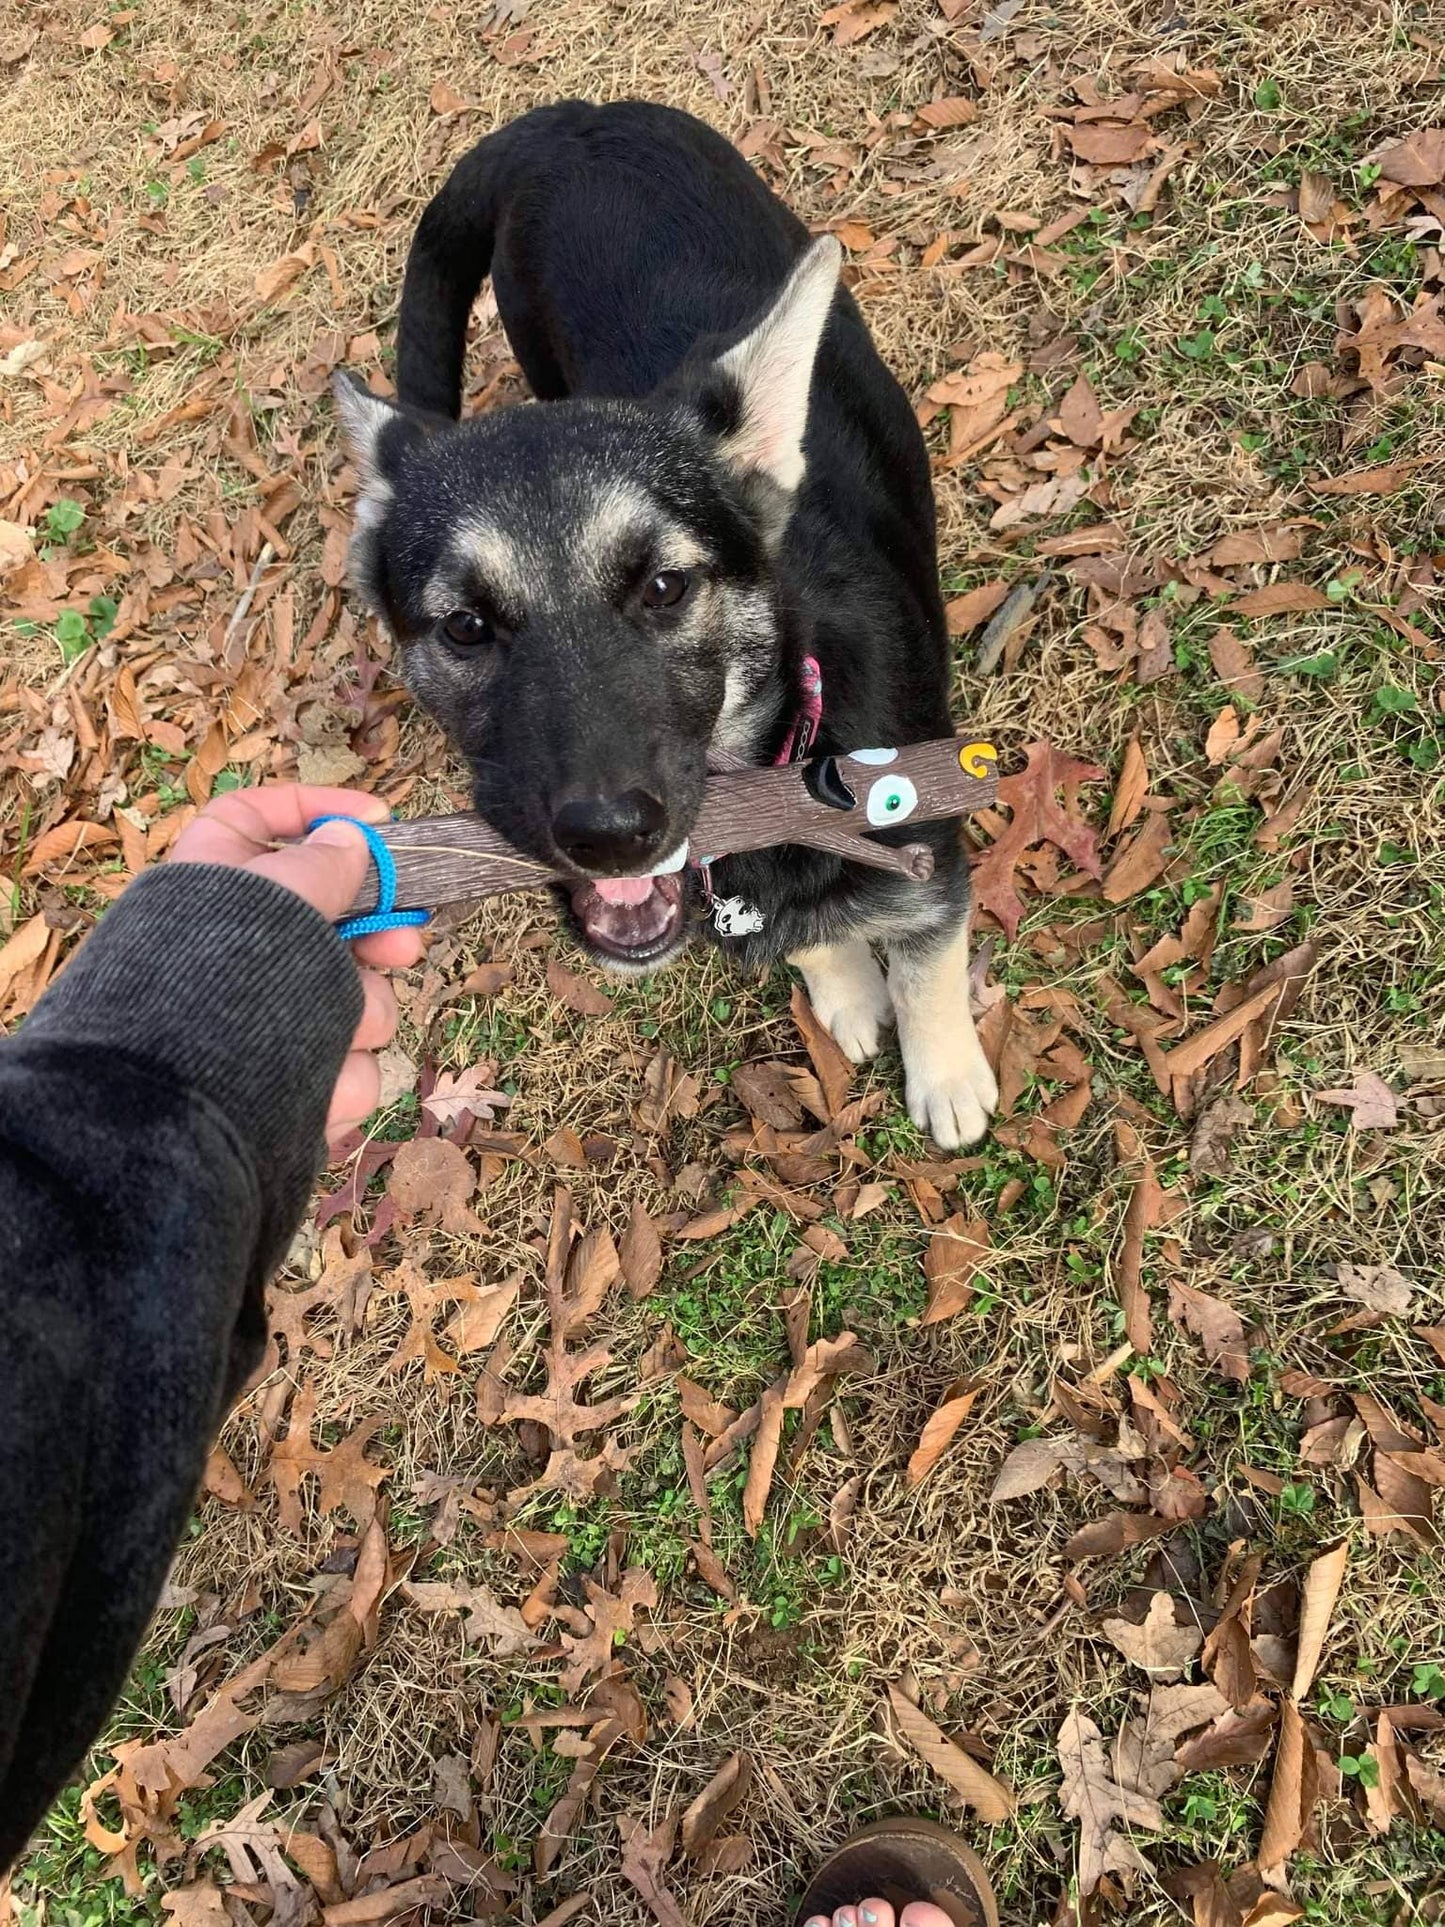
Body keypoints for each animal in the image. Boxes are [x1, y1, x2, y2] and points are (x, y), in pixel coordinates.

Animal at [333, 97, 1001, 1140]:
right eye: (465, 626)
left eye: (662, 588)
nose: (608, 835)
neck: (786, 758)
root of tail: (565, 119)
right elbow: (815, 946)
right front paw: (846, 990)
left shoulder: (929, 857)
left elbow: (927, 964)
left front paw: (947, 1075)